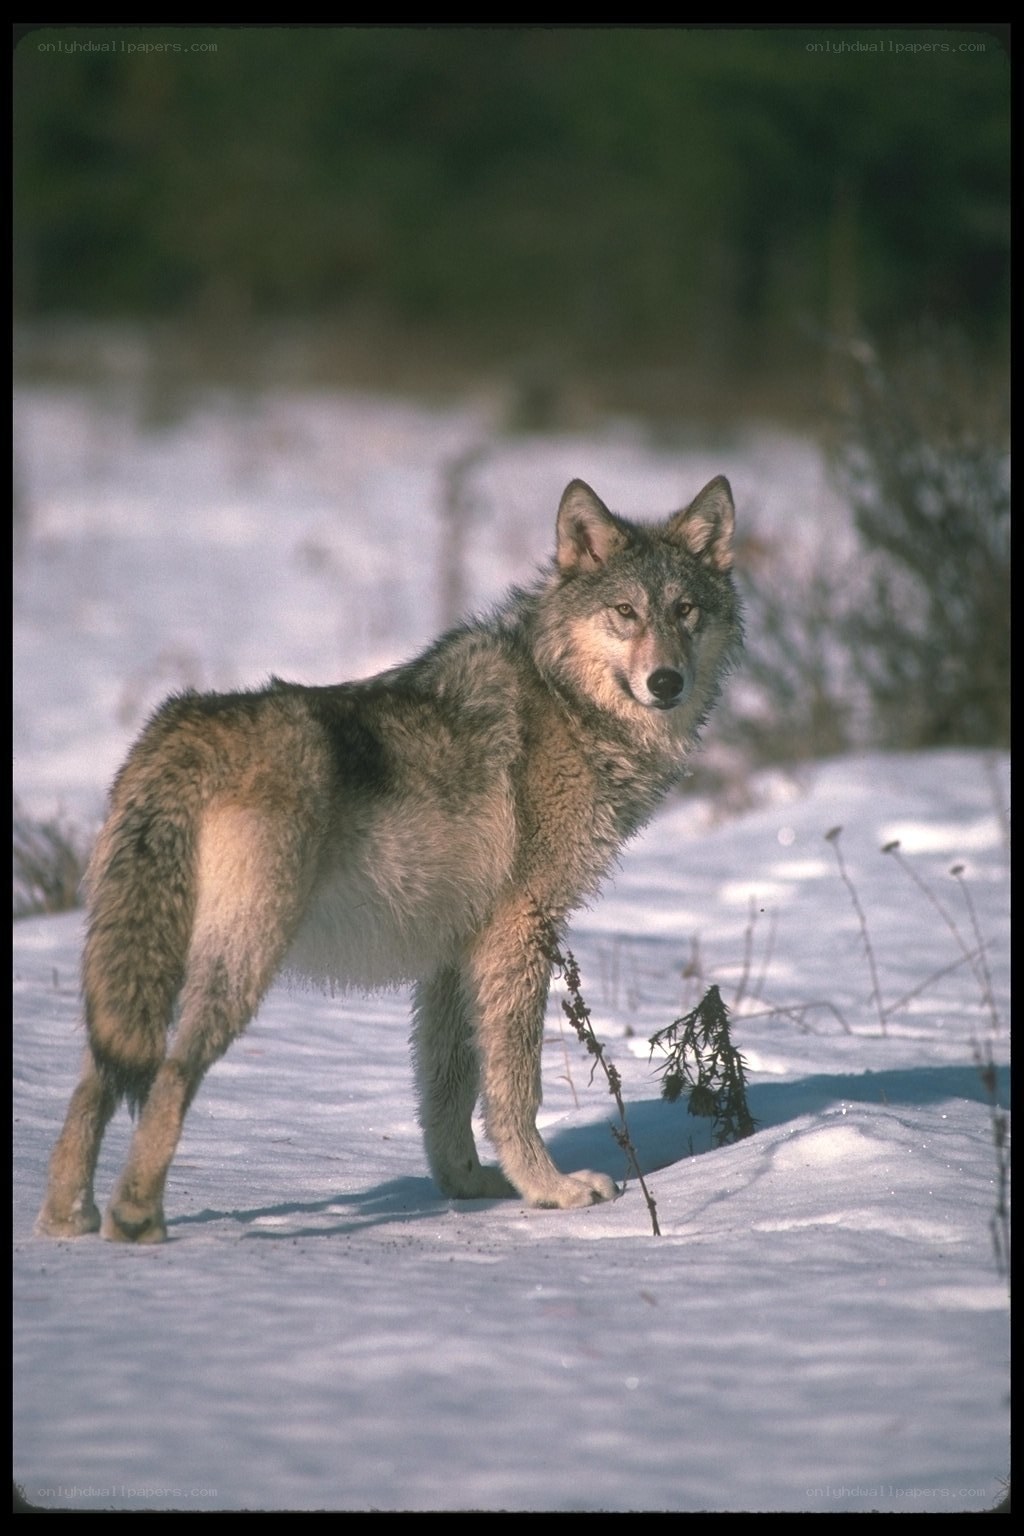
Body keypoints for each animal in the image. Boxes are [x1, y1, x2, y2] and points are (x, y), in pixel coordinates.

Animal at [36, 475, 741, 1242]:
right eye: (625, 612)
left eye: (685, 611)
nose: (666, 682)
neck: (567, 702)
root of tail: (184, 729)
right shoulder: (518, 931)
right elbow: (514, 1086)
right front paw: (548, 1190)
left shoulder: (452, 950)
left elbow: (447, 1089)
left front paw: (468, 1185)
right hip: (238, 965)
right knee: (169, 1073)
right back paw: (136, 1220)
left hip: (141, 964)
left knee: (93, 1077)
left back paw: (66, 1221)